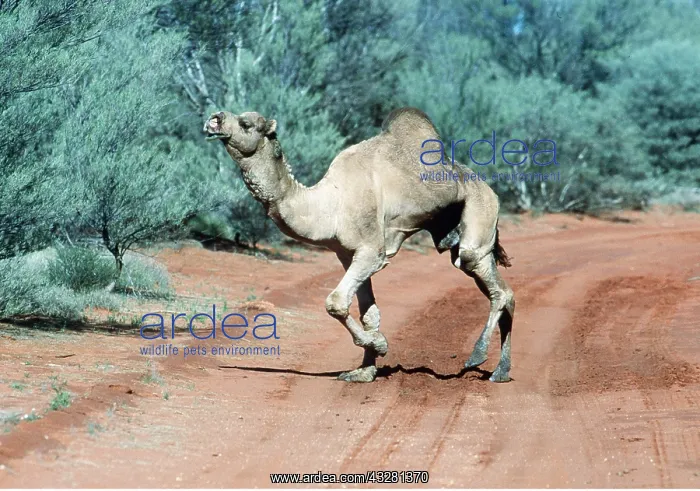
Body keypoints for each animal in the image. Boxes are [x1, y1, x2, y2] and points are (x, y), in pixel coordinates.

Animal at [204, 107, 515, 383]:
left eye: (245, 123)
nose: (214, 119)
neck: (331, 204)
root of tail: (489, 188)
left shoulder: (371, 252)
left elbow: (336, 302)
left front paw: (380, 345)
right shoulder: (346, 254)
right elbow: (370, 314)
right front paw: (364, 372)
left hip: (479, 213)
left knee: (488, 278)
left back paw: (477, 356)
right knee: (503, 291)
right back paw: (501, 372)